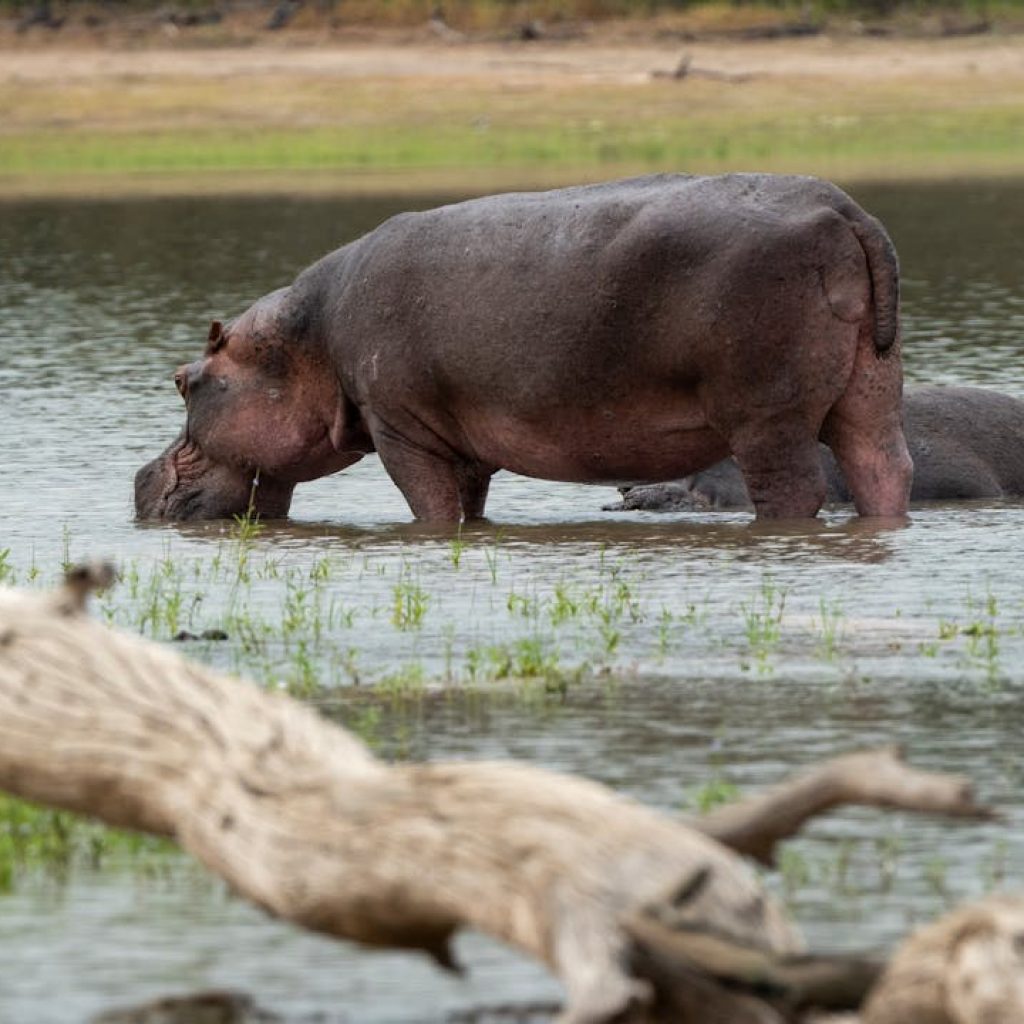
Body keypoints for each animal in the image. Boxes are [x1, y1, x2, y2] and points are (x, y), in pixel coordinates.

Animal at [135, 173, 911, 523]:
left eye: (183, 379)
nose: (139, 479)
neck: (303, 342)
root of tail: (843, 207)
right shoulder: (463, 440)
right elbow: (470, 503)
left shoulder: (400, 427)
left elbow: (430, 508)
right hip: (869, 393)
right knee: (883, 467)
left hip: (765, 417)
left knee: (791, 488)